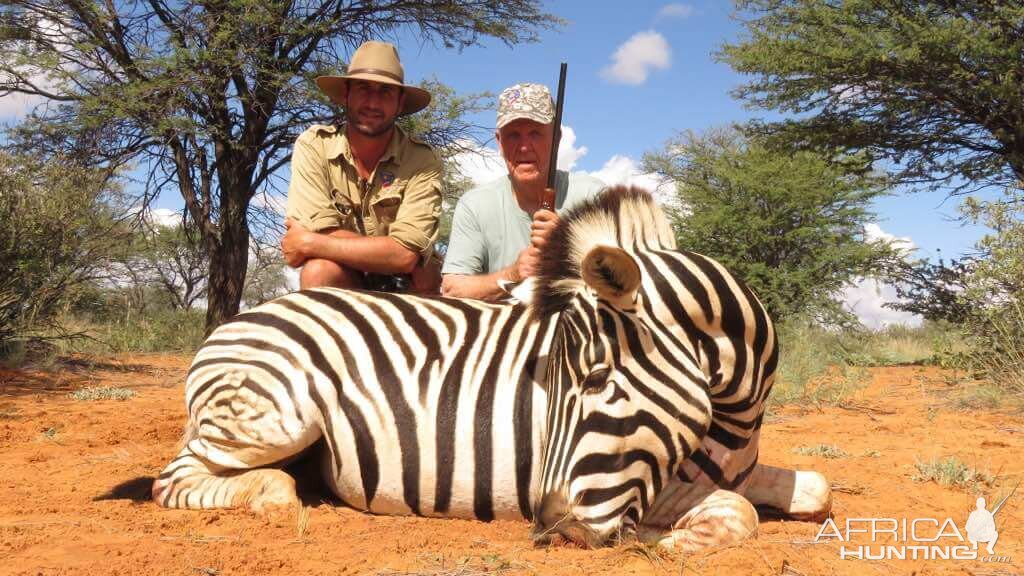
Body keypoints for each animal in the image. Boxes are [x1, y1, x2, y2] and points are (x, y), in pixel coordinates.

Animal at [155, 186, 835, 549]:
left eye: (594, 381)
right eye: (552, 386)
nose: (550, 526)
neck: (736, 417)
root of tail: (240, 319)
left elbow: (815, 491)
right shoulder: (655, 485)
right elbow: (736, 514)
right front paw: (664, 542)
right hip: (275, 418)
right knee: (181, 480)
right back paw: (275, 491)